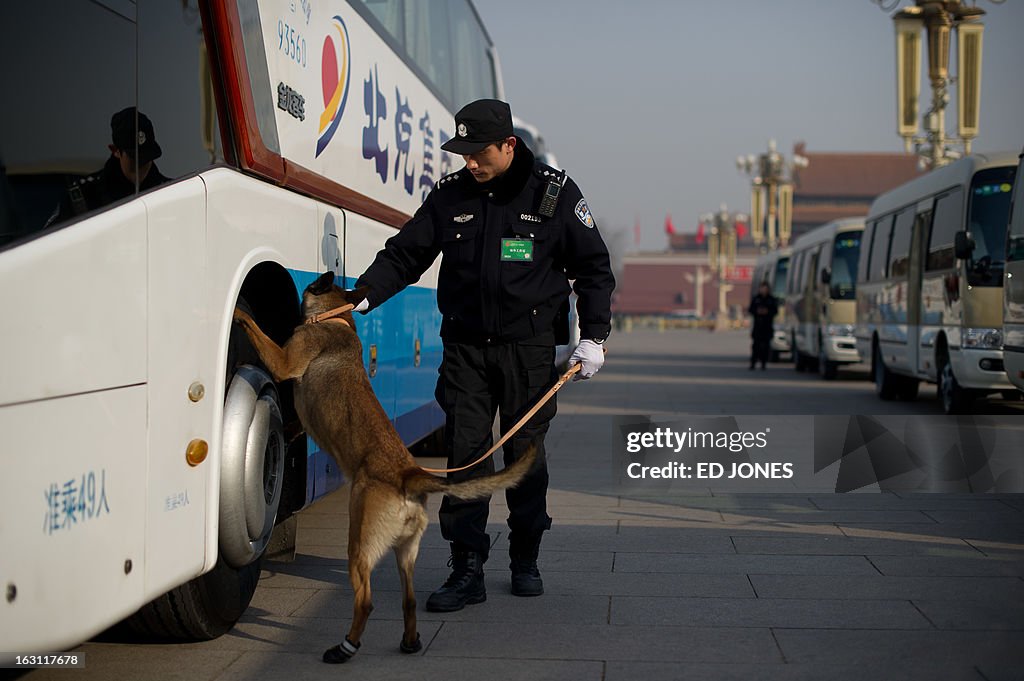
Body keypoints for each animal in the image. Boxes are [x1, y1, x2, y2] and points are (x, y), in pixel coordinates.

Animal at [232, 272, 536, 663]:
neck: (336, 318)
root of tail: (409, 476)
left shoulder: (284, 361)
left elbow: (255, 328)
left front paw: (236, 310)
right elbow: (296, 422)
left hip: (359, 546)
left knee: (367, 602)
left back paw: (345, 647)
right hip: (405, 553)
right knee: (408, 602)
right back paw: (409, 641)